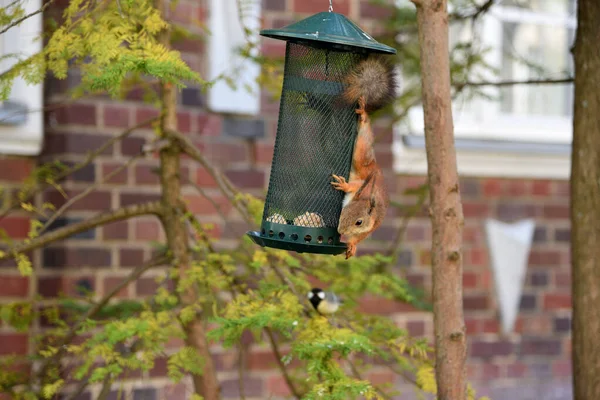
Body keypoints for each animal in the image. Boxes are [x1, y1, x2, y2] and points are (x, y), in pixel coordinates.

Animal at [330, 56, 396, 260]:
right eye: (345, 210)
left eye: (359, 222)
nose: (340, 230)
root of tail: (374, 165)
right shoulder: (361, 188)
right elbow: (355, 185)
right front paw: (344, 186)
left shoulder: (372, 226)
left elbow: (359, 238)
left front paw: (351, 245)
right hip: (361, 154)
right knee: (363, 134)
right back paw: (363, 116)